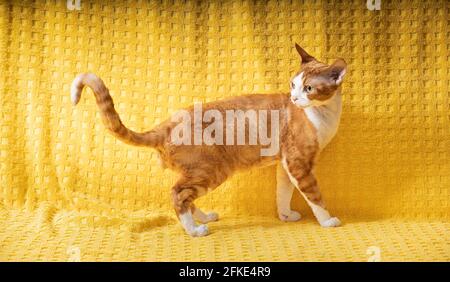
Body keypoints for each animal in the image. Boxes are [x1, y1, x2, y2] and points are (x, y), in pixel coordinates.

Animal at [70, 43, 346, 236]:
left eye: (308, 88)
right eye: (293, 85)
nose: (294, 98)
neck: (325, 113)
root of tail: (167, 123)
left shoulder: (286, 164)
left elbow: (283, 193)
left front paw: (286, 216)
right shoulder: (300, 163)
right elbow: (314, 195)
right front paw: (328, 220)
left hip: (199, 172)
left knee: (186, 197)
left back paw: (203, 219)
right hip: (211, 170)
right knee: (177, 195)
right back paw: (195, 230)